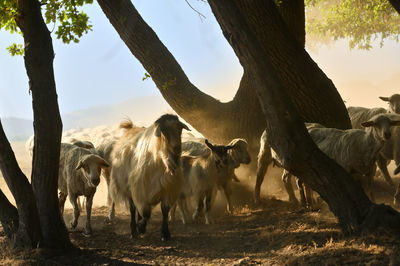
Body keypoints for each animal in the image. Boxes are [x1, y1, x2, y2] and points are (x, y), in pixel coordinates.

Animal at [255, 113, 400, 205]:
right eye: (375, 124)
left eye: (390, 123)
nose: (387, 134)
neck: (364, 144)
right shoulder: (346, 169)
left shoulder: (370, 171)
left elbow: (370, 189)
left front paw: (373, 202)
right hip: (267, 154)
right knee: (262, 176)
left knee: (297, 180)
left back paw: (308, 202)